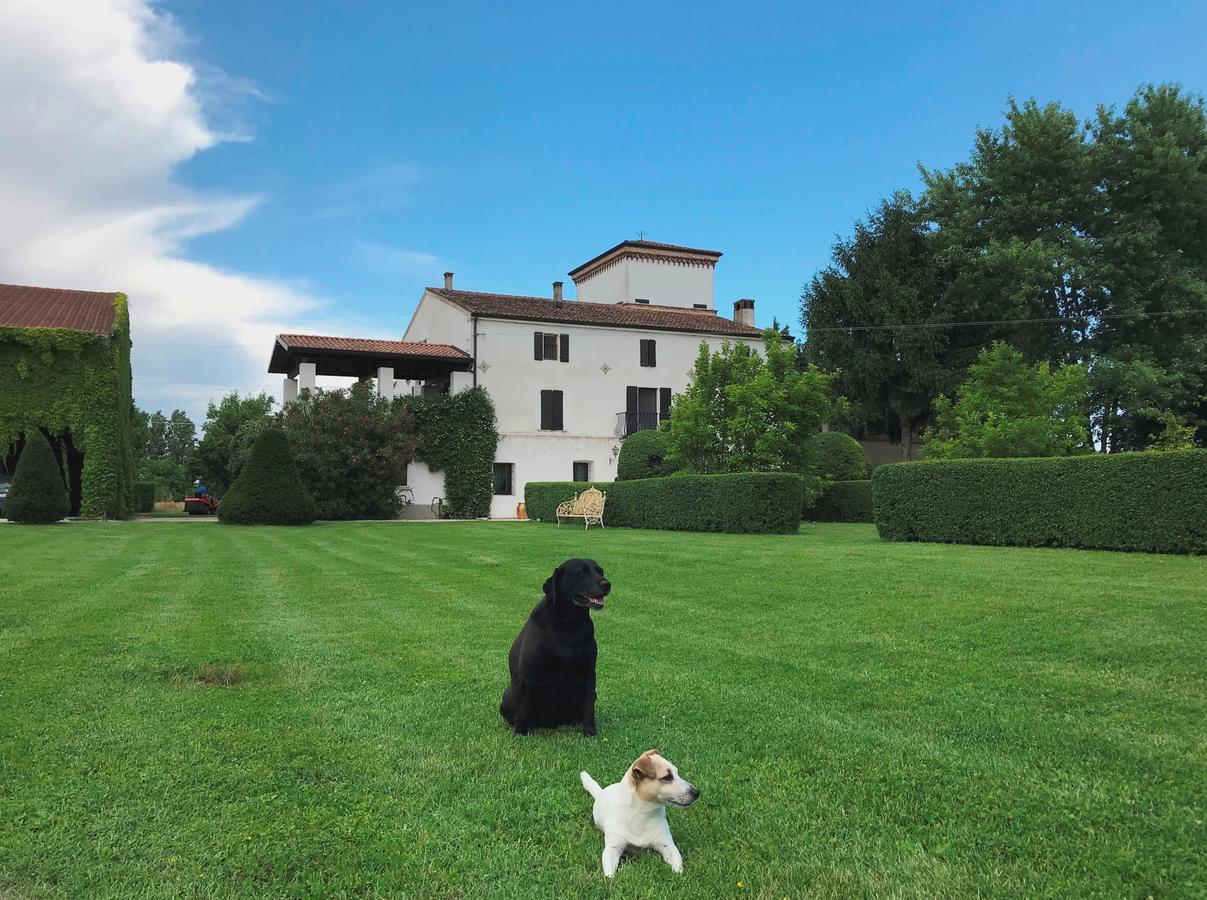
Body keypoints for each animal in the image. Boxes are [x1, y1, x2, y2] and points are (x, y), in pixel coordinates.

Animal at [502, 554, 613, 738]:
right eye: (582, 573)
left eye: (600, 571)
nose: (607, 584)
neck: (568, 624)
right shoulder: (530, 676)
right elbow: (524, 709)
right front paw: (520, 734)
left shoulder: (589, 674)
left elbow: (588, 708)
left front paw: (590, 733)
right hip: (508, 696)